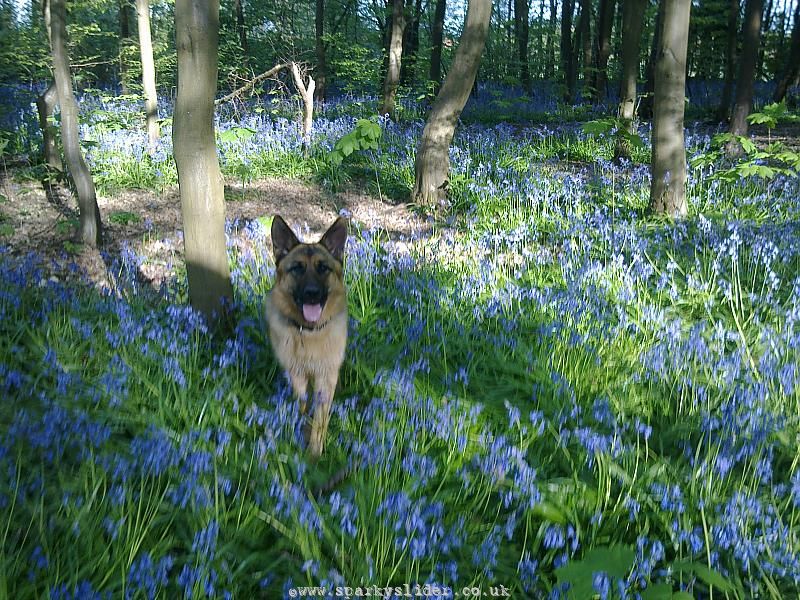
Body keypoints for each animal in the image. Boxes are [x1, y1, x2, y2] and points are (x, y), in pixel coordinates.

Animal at [264, 216, 348, 454]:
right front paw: (298, 431)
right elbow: (300, 405)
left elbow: (320, 420)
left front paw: (314, 453)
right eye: (297, 269)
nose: (312, 293)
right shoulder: (297, 375)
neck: (309, 334)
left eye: (323, 268)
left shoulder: (325, 378)